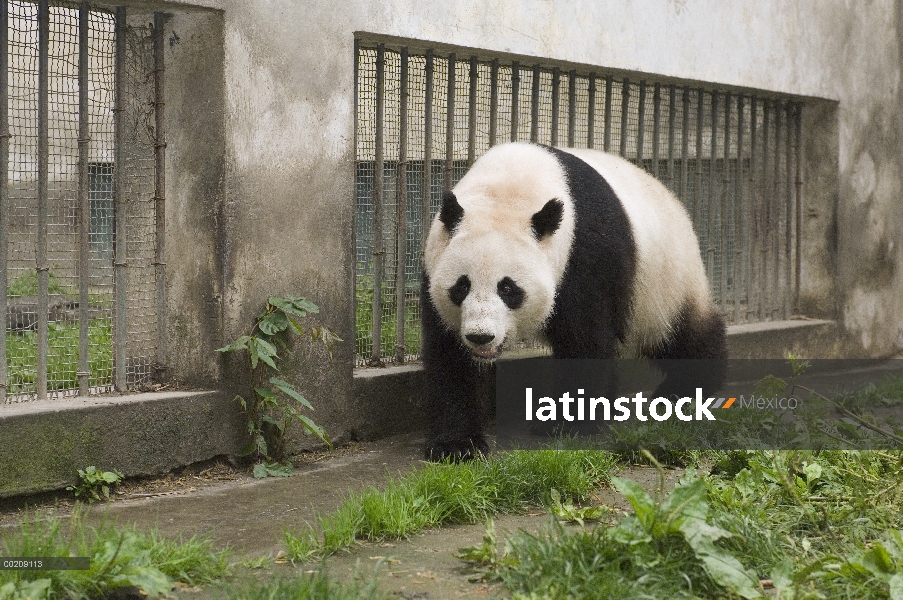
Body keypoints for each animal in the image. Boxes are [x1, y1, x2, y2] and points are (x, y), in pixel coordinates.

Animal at [422, 143, 728, 462]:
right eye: (462, 286)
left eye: (508, 288)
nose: (481, 337)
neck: (508, 190)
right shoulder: (435, 268)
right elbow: (449, 356)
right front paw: (456, 444)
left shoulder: (585, 253)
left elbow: (585, 338)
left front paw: (566, 424)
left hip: (666, 282)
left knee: (683, 335)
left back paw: (685, 391)